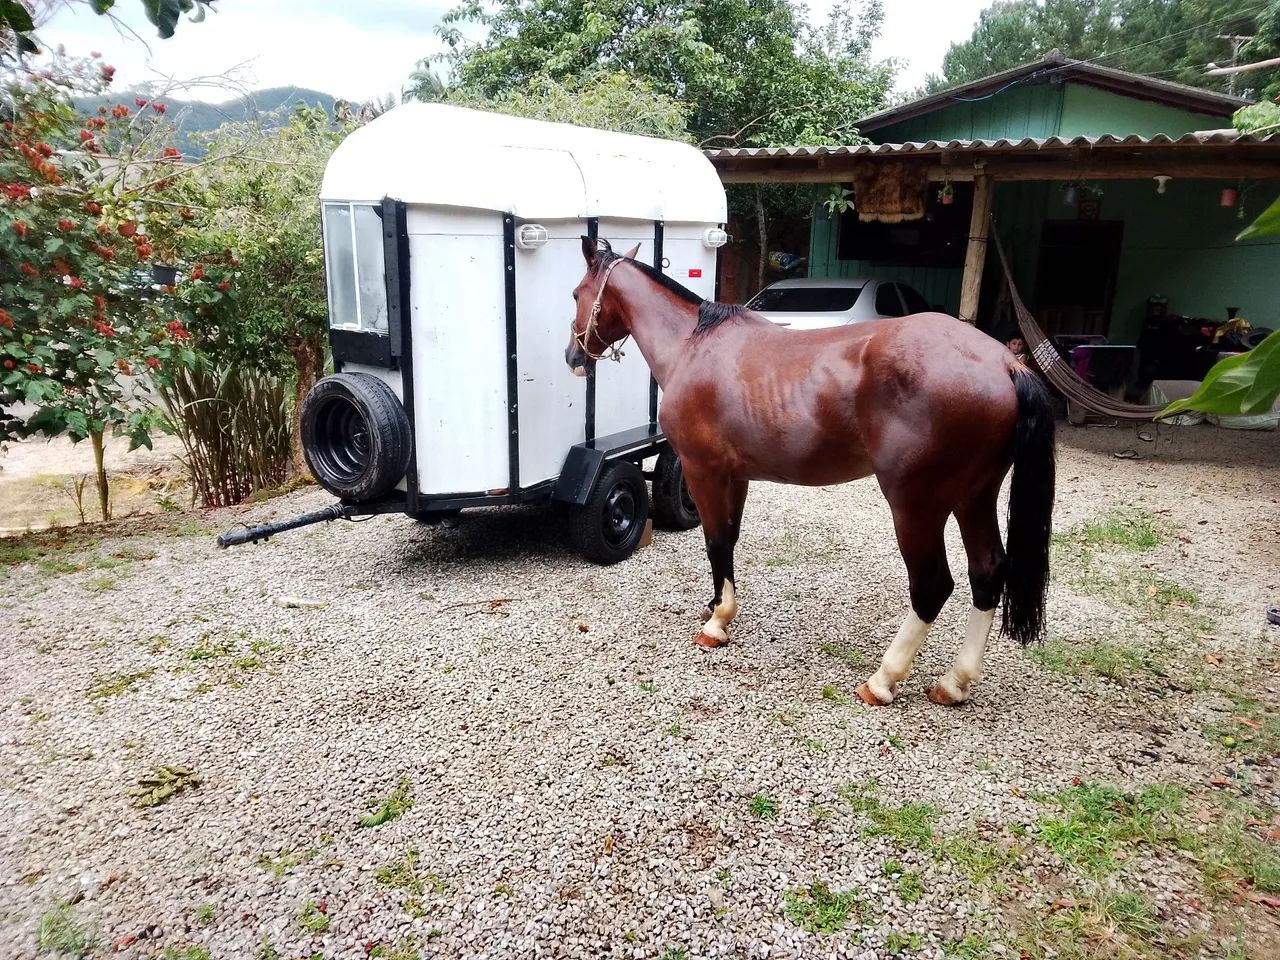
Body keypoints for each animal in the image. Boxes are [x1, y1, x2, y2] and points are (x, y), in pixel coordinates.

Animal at [565, 238, 1055, 706]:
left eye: (575, 293)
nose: (573, 356)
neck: (693, 345)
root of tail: (1004, 363)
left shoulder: (704, 472)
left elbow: (715, 541)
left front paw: (718, 624)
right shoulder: (736, 476)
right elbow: (728, 540)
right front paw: (717, 605)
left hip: (916, 506)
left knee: (932, 585)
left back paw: (883, 680)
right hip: (974, 498)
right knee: (987, 572)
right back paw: (954, 683)